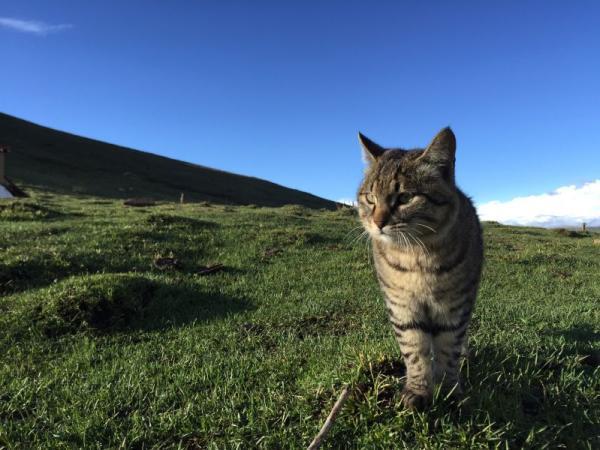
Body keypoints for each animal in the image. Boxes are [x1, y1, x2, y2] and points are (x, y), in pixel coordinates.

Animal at [356, 127, 482, 412]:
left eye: (405, 197)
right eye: (370, 198)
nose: (378, 223)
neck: (416, 256)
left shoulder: (454, 308)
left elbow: (448, 351)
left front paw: (449, 390)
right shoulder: (402, 307)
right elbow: (415, 351)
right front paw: (418, 390)